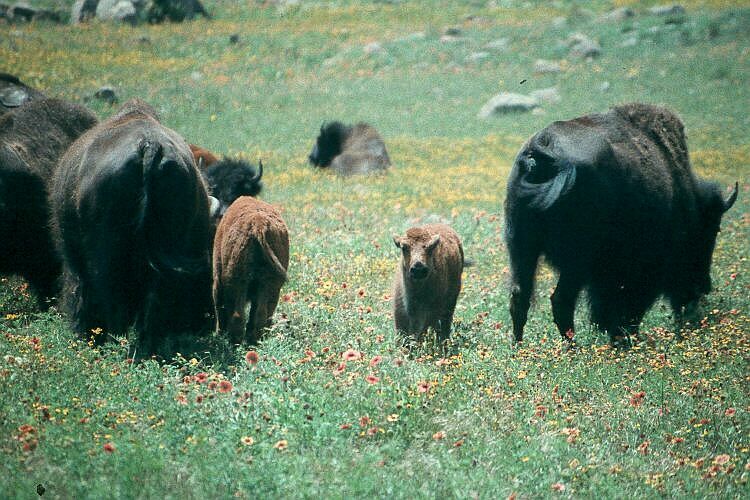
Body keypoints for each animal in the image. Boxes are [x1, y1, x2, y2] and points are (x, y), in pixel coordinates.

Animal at [506, 101, 740, 344]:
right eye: (711, 230)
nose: (704, 286)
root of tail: (545, 150)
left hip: (522, 249)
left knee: (519, 297)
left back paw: (519, 346)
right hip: (576, 261)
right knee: (561, 301)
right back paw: (574, 347)